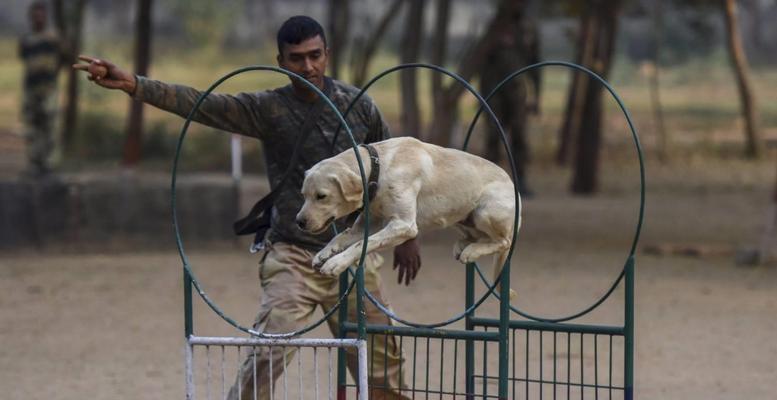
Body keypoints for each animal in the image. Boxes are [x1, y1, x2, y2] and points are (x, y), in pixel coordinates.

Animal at [294, 137, 520, 296]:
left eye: (321, 196)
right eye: (303, 195)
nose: (299, 222)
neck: (379, 168)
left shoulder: (403, 226)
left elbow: (361, 245)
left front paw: (336, 263)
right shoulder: (368, 225)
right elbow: (341, 237)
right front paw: (324, 253)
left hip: (486, 211)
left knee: (503, 241)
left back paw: (472, 251)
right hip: (462, 217)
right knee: (482, 237)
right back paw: (463, 245)